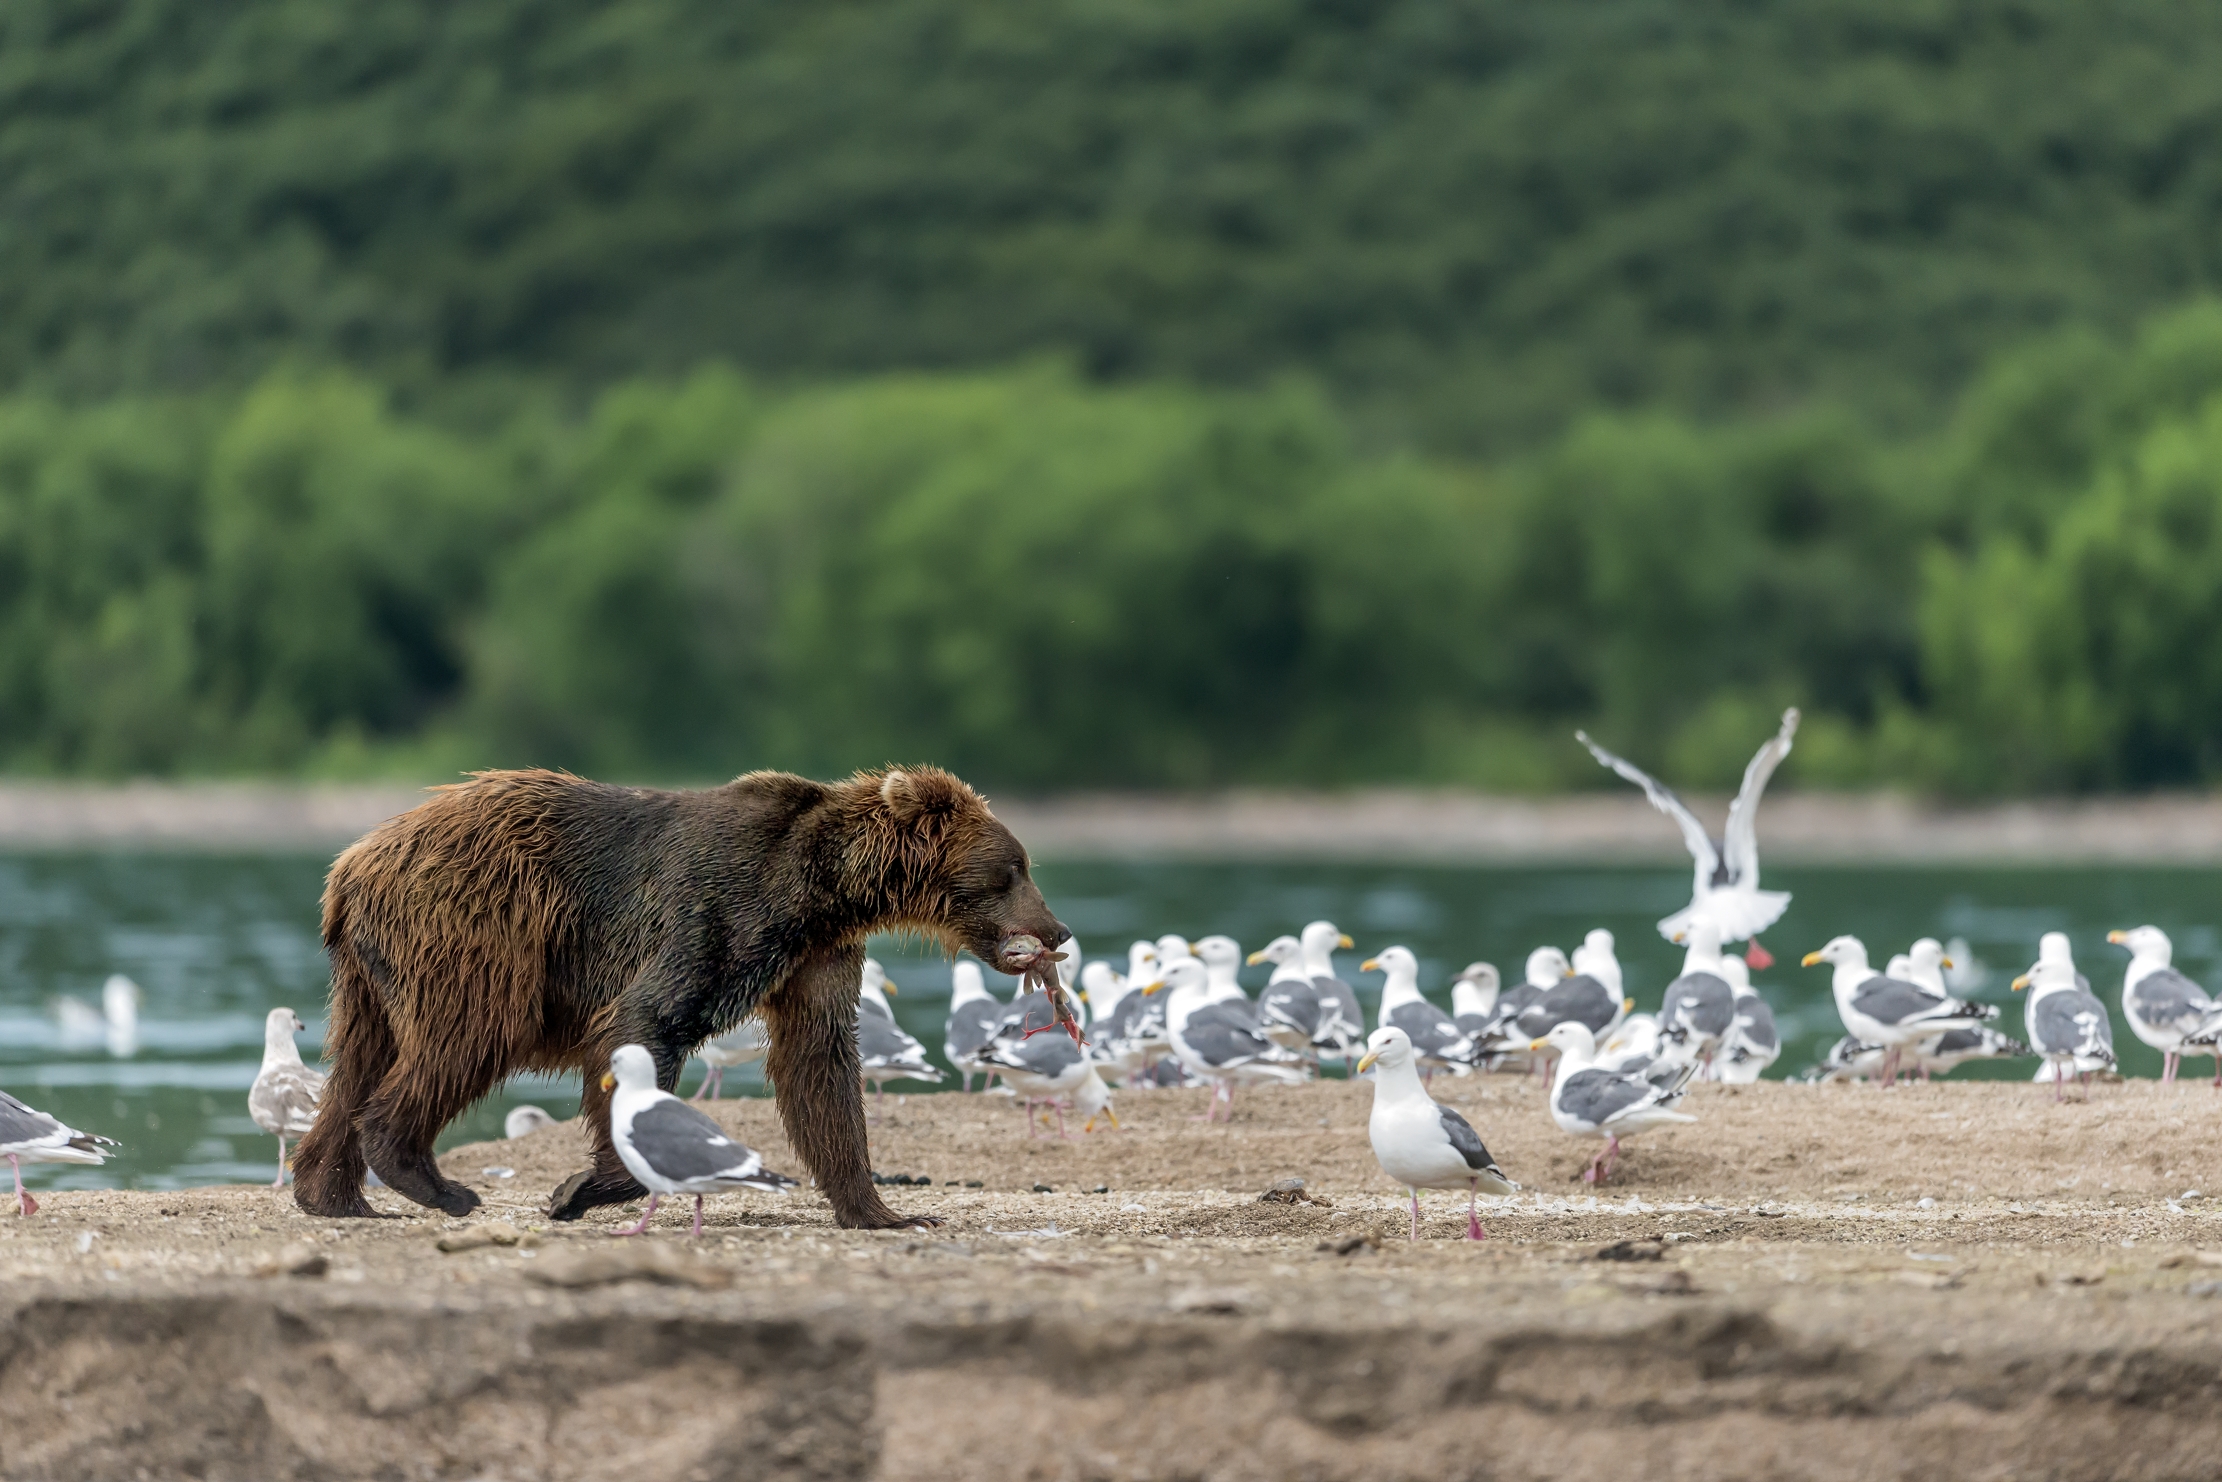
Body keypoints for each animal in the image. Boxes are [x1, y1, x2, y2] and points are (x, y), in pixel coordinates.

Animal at [290, 764, 1066, 1228]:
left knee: (358, 1059)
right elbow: (647, 1020)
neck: (824, 890)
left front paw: (887, 1211)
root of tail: (351, 864)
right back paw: (435, 1183)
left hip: (372, 970)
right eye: (1013, 868)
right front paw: (578, 1189)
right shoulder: (722, 909)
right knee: (467, 1033)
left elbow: (820, 1066)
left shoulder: (814, 957)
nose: (1056, 931)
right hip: (476, 925)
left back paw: (333, 1195)